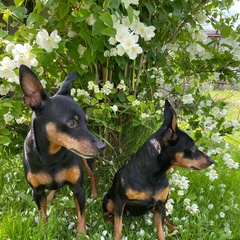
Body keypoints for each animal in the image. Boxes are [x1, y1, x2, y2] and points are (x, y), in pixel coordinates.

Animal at [18, 64, 105, 235]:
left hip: (87, 162)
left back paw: (94, 193)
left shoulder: (78, 189)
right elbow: (43, 215)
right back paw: (51, 195)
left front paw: (82, 235)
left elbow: (81, 215)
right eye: (71, 123)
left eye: (86, 121)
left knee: (92, 175)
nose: (101, 146)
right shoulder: (37, 191)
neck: (51, 157)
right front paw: (43, 233)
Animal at [102, 99, 213, 240]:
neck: (153, 176)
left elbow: (160, 230)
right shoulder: (120, 202)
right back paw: (109, 223)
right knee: (107, 215)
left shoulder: (160, 204)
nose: (212, 161)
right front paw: (115, 230)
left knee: (165, 219)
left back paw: (174, 228)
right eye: (192, 147)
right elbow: (118, 228)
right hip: (109, 201)